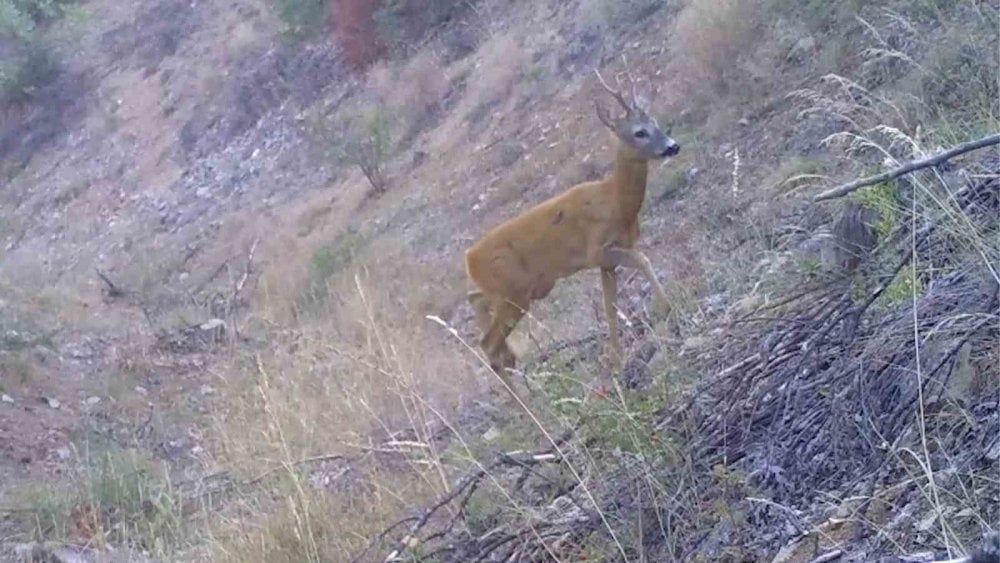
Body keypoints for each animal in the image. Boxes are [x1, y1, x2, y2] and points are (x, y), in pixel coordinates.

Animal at [462, 64, 680, 400]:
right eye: (639, 132)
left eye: (654, 122)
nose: (673, 146)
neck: (615, 202)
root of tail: (468, 257)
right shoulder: (597, 250)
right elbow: (642, 260)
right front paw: (669, 311)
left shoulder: (607, 261)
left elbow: (610, 307)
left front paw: (617, 359)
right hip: (515, 293)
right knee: (488, 344)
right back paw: (527, 405)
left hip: (515, 289)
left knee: (477, 305)